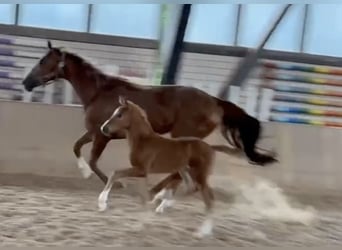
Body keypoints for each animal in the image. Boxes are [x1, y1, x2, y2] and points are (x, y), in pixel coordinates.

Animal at [96, 96, 230, 237]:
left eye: (119, 115)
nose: (103, 128)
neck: (144, 140)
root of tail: (211, 148)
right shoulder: (142, 173)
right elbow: (142, 196)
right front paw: (141, 223)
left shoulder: (141, 170)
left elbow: (115, 173)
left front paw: (102, 204)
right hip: (185, 171)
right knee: (191, 189)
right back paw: (163, 201)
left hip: (199, 175)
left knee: (208, 199)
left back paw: (202, 232)